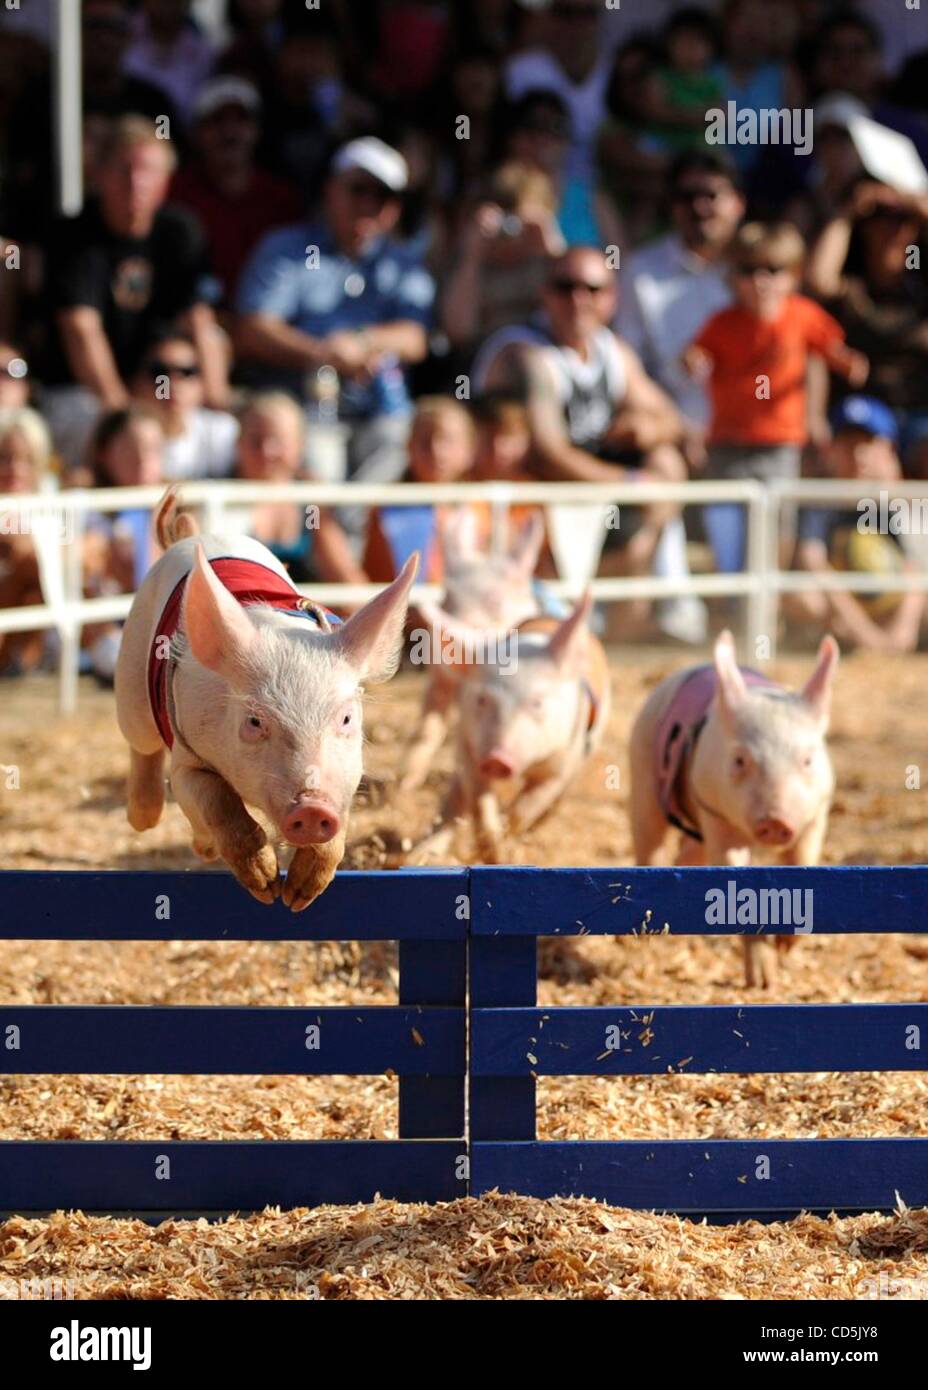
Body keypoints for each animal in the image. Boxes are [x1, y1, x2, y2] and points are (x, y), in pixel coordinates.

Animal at [115, 489, 417, 910]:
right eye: (255, 722)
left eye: (345, 719)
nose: (313, 808)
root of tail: (192, 535)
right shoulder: (188, 756)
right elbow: (216, 800)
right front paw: (266, 886)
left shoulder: (349, 771)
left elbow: (340, 819)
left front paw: (298, 896)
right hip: (132, 675)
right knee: (141, 744)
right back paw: (153, 821)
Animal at [398, 509, 544, 792]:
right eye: (447, 598)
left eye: (494, 600)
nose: (447, 637)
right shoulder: (439, 681)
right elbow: (427, 729)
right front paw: (405, 784)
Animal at [407, 593, 610, 864]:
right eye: (482, 699)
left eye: (537, 702)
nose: (497, 759)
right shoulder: (468, 745)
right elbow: (479, 801)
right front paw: (492, 853)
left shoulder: (563, 758)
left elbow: (527, 807)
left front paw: (505, 850)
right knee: (454, 801)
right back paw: (418, 856)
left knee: (553, 802)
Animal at [628, 629, 839, 987]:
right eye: (740, 760)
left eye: (808, 761)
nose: (776, 820)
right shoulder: (715, 811)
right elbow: (734, 870)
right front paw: (763, 983)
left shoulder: (817, 815)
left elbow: (803, 860)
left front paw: (785, 948)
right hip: (641, 769)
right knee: (649, 844)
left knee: (688, 855)